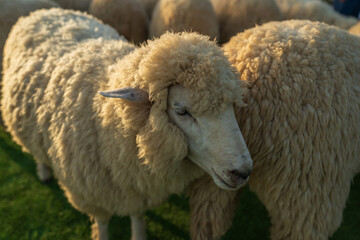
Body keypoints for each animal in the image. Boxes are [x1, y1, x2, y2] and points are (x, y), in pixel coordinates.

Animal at [0, 7, 253, 240]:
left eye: (231, 105)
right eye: (181, 111)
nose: (243, 172)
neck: (106, 121)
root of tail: (44, 11)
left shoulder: (136, 190)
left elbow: (137, 215)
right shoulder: (92, 192)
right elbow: (102, 222)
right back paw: (43, 171)